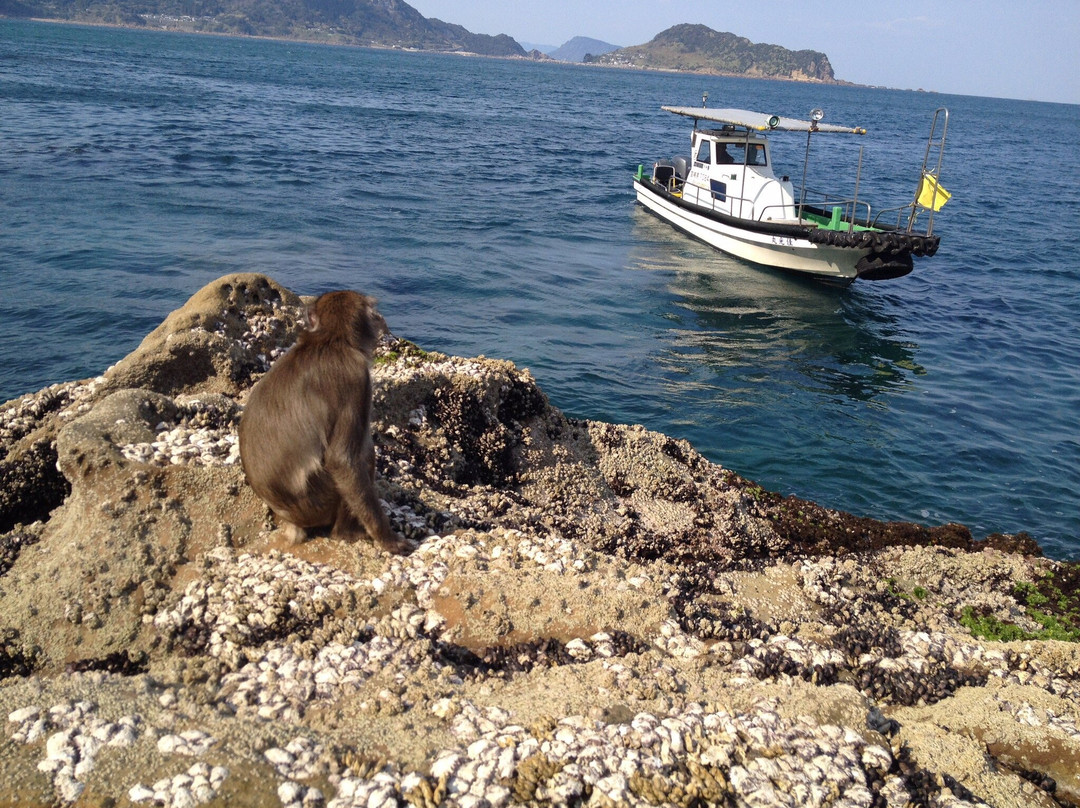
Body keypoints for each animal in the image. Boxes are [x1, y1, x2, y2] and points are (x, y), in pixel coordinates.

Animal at [240, 289, 412, 557]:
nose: (381, 321)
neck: (330, 340)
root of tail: (291, 520)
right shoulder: (356, 378)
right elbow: (341, 460)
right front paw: (388, 539)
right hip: (318, 501)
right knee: (362, 457)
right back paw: (345, 532)